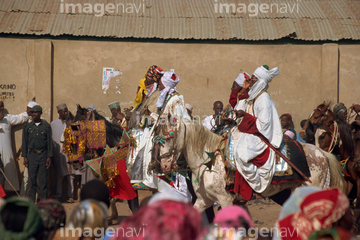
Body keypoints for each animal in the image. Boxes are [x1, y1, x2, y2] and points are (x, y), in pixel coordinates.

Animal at [155, 119, 346, 213]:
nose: (164, 164)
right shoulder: (204, 200)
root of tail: (323, 154)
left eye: (170, 136)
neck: (209, 162)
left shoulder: (225, 200)